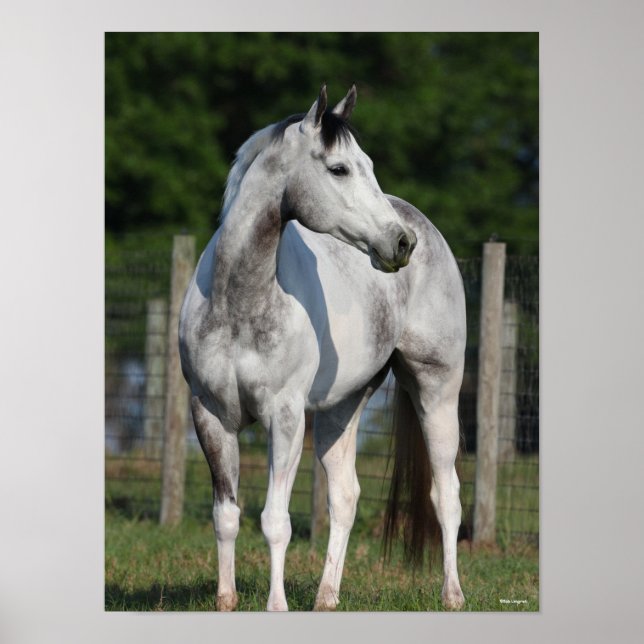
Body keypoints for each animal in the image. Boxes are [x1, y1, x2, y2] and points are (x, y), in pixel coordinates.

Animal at [178, 85, 466, 611]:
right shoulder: (210, 415)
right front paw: (226, 600)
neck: (238, 302)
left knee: (447, 494)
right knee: (345, 496)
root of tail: (425, 226)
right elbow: (226, 514)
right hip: (342, 407)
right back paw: (326, 597)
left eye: (366, 163)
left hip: (437, 390)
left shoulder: (286, 417)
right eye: (339, 169)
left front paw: (275, 606)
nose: (401, 243)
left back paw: (452, 594)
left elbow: (275, 521)